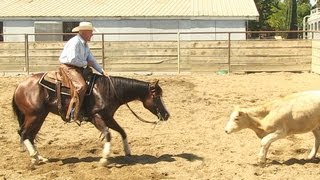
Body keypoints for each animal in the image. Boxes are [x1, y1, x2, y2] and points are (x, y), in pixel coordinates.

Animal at [11, 72, 170, 167]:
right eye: (156, 97)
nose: (167, 115)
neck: (108, 90)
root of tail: (20, 85)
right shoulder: (96, 117)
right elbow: (107, 134)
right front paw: (104, 159)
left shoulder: (108, 117)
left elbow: (122, 131)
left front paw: (127, 151)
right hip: (34, 115)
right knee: (24, 133)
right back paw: (34, 157)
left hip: (40, 116)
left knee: (29, 135)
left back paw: (40, 157)